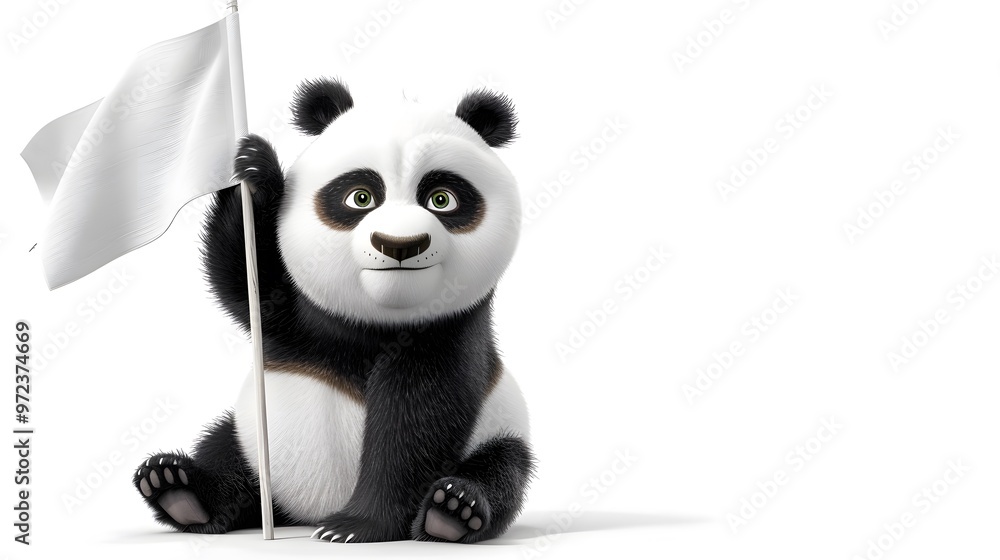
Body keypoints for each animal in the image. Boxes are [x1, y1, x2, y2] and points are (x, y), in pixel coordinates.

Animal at [132, 78, 535, 544]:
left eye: (442, 199)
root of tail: (300, 513)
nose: (399, 245)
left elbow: (416, 424)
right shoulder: (297, 316)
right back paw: (177, 487)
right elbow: (247, 281)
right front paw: (254, 170)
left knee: (502, 470)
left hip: (502, 430)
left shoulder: (448, 331)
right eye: (361, 196)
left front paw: (354, 526)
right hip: (247, 438)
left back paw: (452, 511)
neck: (377, 320)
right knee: (224, 452)